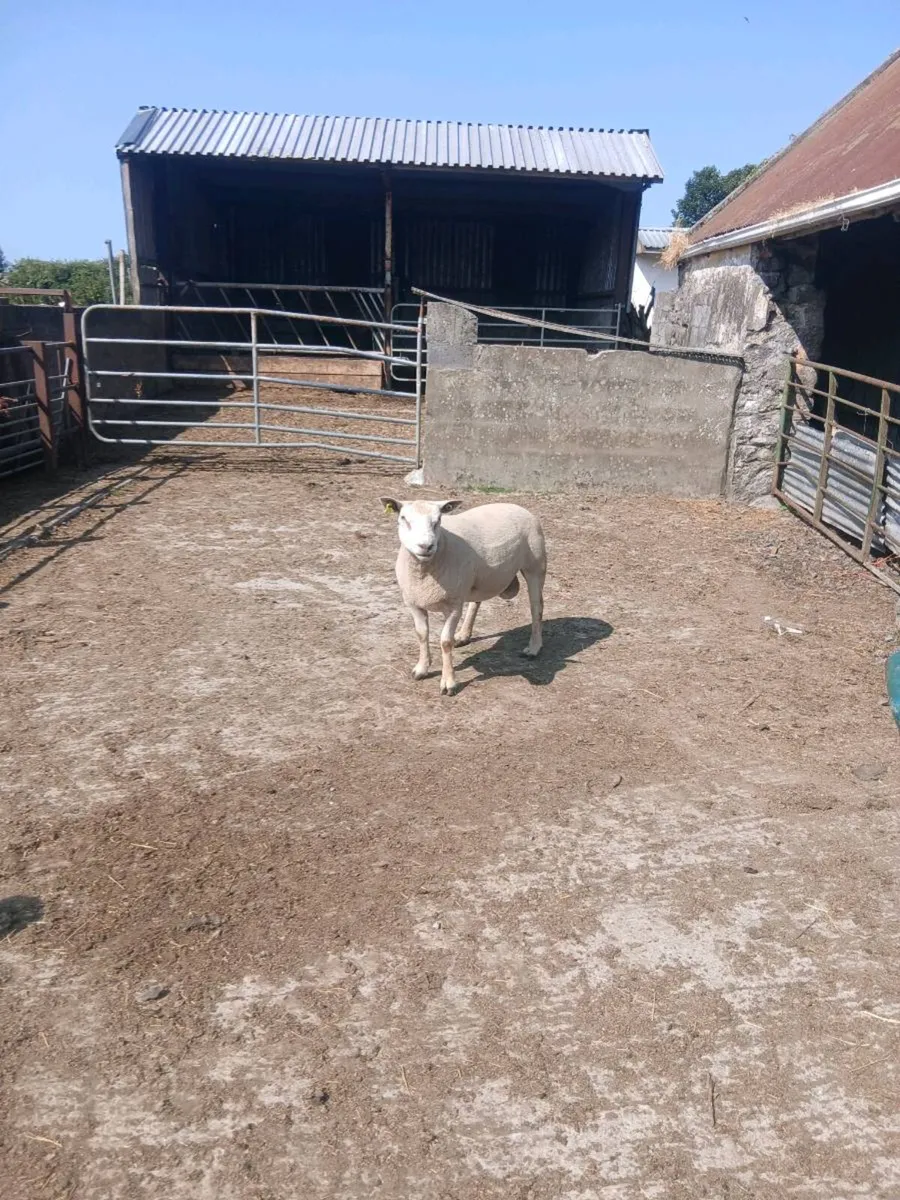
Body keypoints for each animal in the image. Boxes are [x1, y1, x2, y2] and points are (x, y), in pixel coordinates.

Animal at [380, 497, 546, 695]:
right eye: (404, 518)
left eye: (438, 520)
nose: (426, 546)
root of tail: (515, 505)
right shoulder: (414, 602)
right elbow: (421, 634)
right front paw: (421, 669)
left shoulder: (453, 606)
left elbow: (445, 642)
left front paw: (448, 682)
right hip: (481, 578)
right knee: (476, 601)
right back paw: (463, 635)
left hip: (535, 565)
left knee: (536, 607)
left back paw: (534, 647)